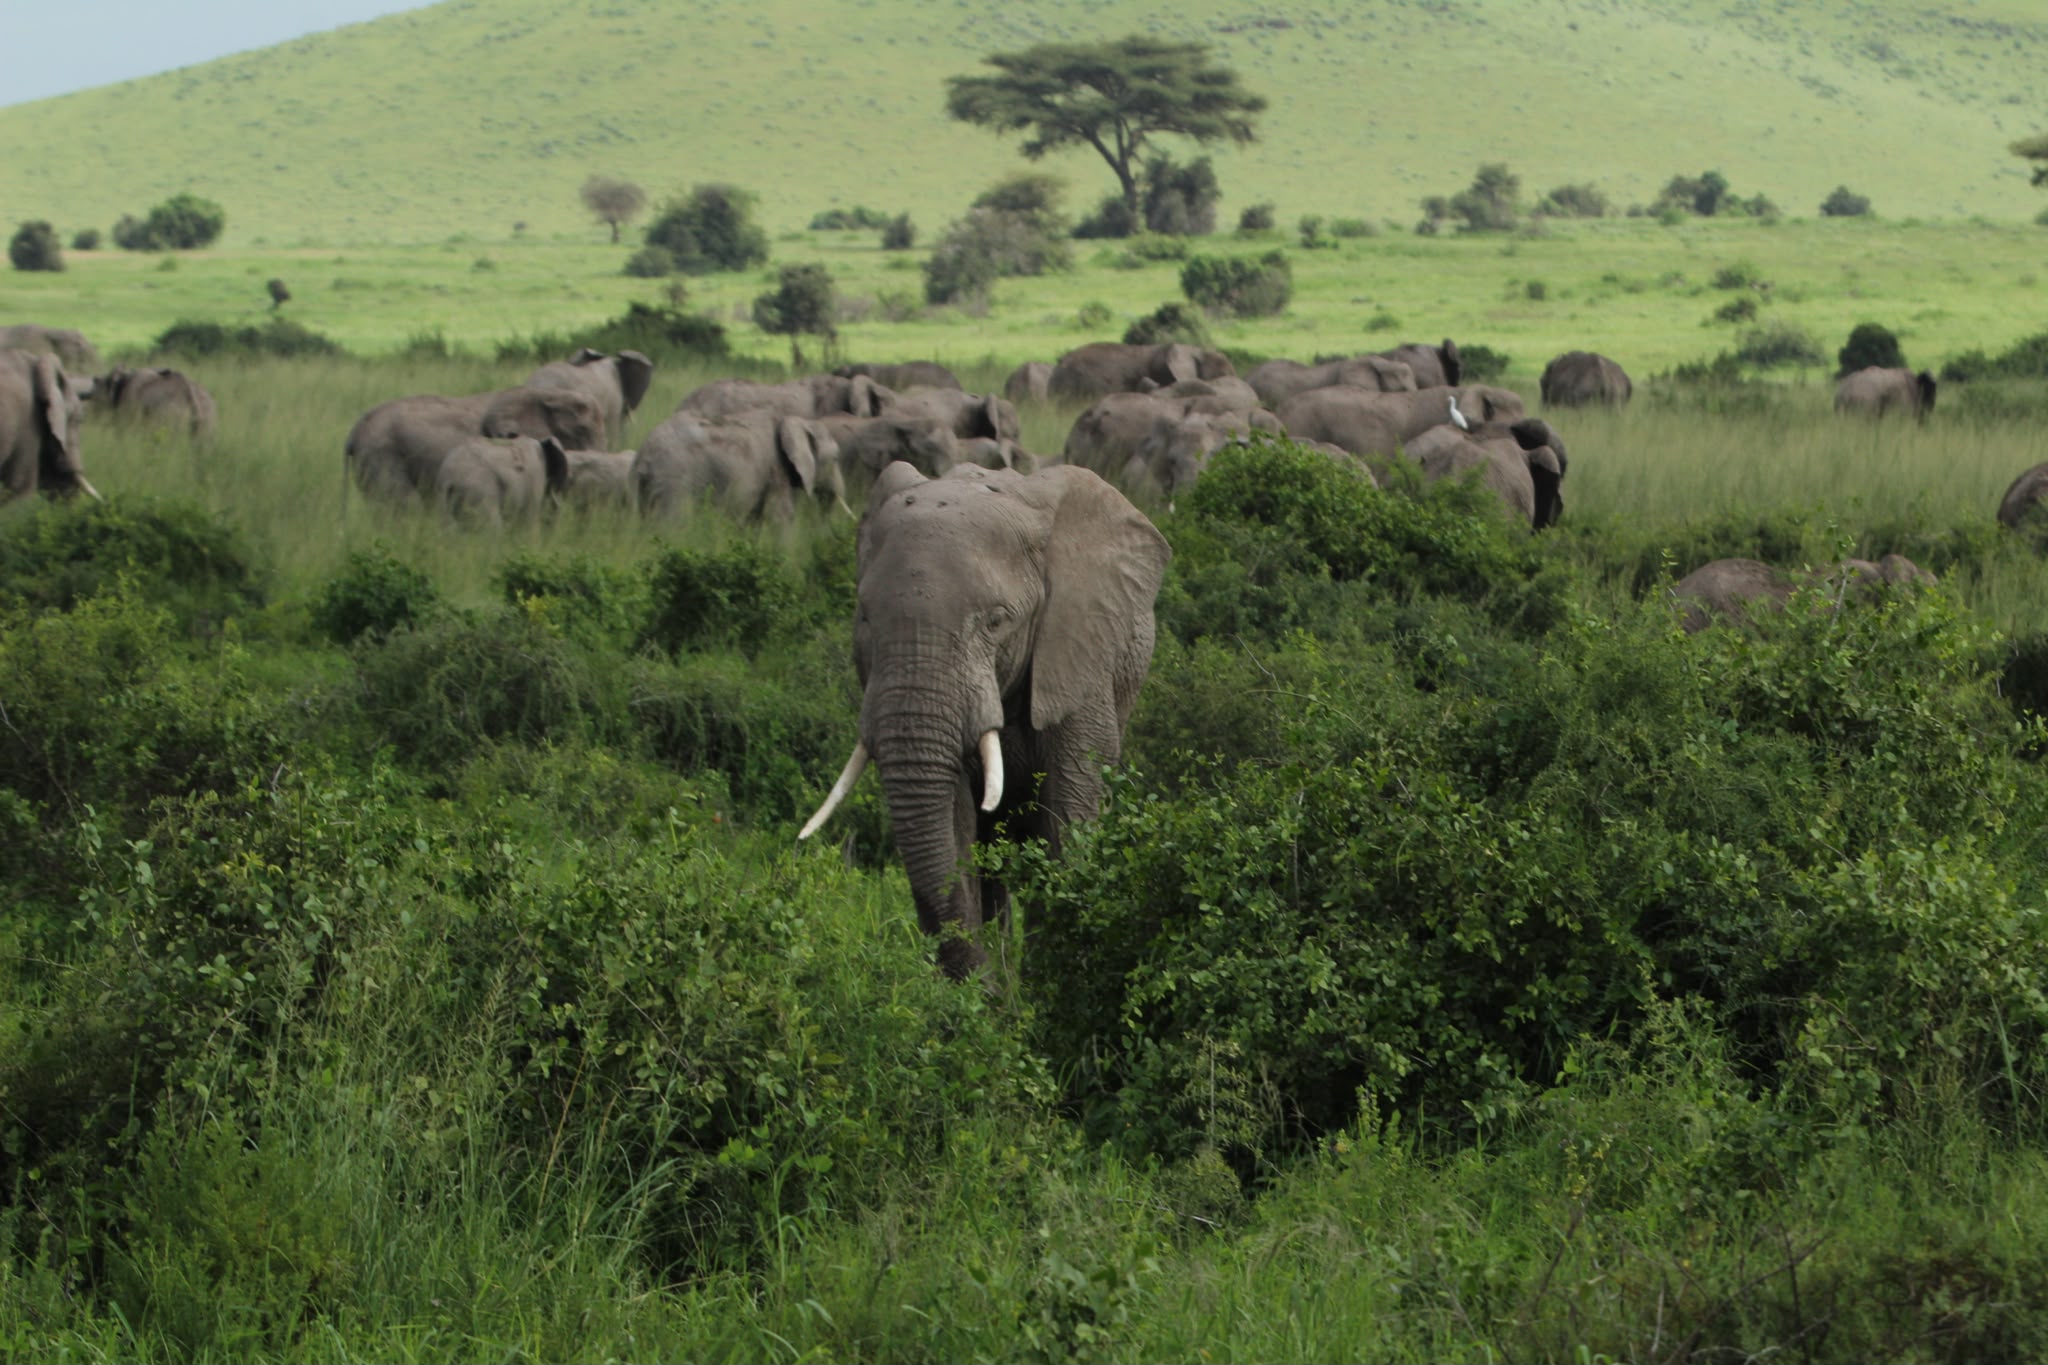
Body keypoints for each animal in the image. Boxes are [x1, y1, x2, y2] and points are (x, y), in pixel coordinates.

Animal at [431, 436, 569, 527]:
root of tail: (451, 477)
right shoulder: (536, 478)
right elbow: (530, 518)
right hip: (479, 488)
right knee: (494, 524)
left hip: (442, 494)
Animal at [632, 410, 844, 522]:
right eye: (835, 458)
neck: (791, 419)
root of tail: (643, 455)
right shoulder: (776, 469)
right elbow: (780, 516)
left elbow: (752, 520)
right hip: (673, 480)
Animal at [798, 461, 1172, 979]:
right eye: (865, 618)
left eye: (996, 621)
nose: (984, 987)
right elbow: (955, 830)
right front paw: (984, 996)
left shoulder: (1079, 659)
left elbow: (1067, 818)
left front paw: (1048, 981)